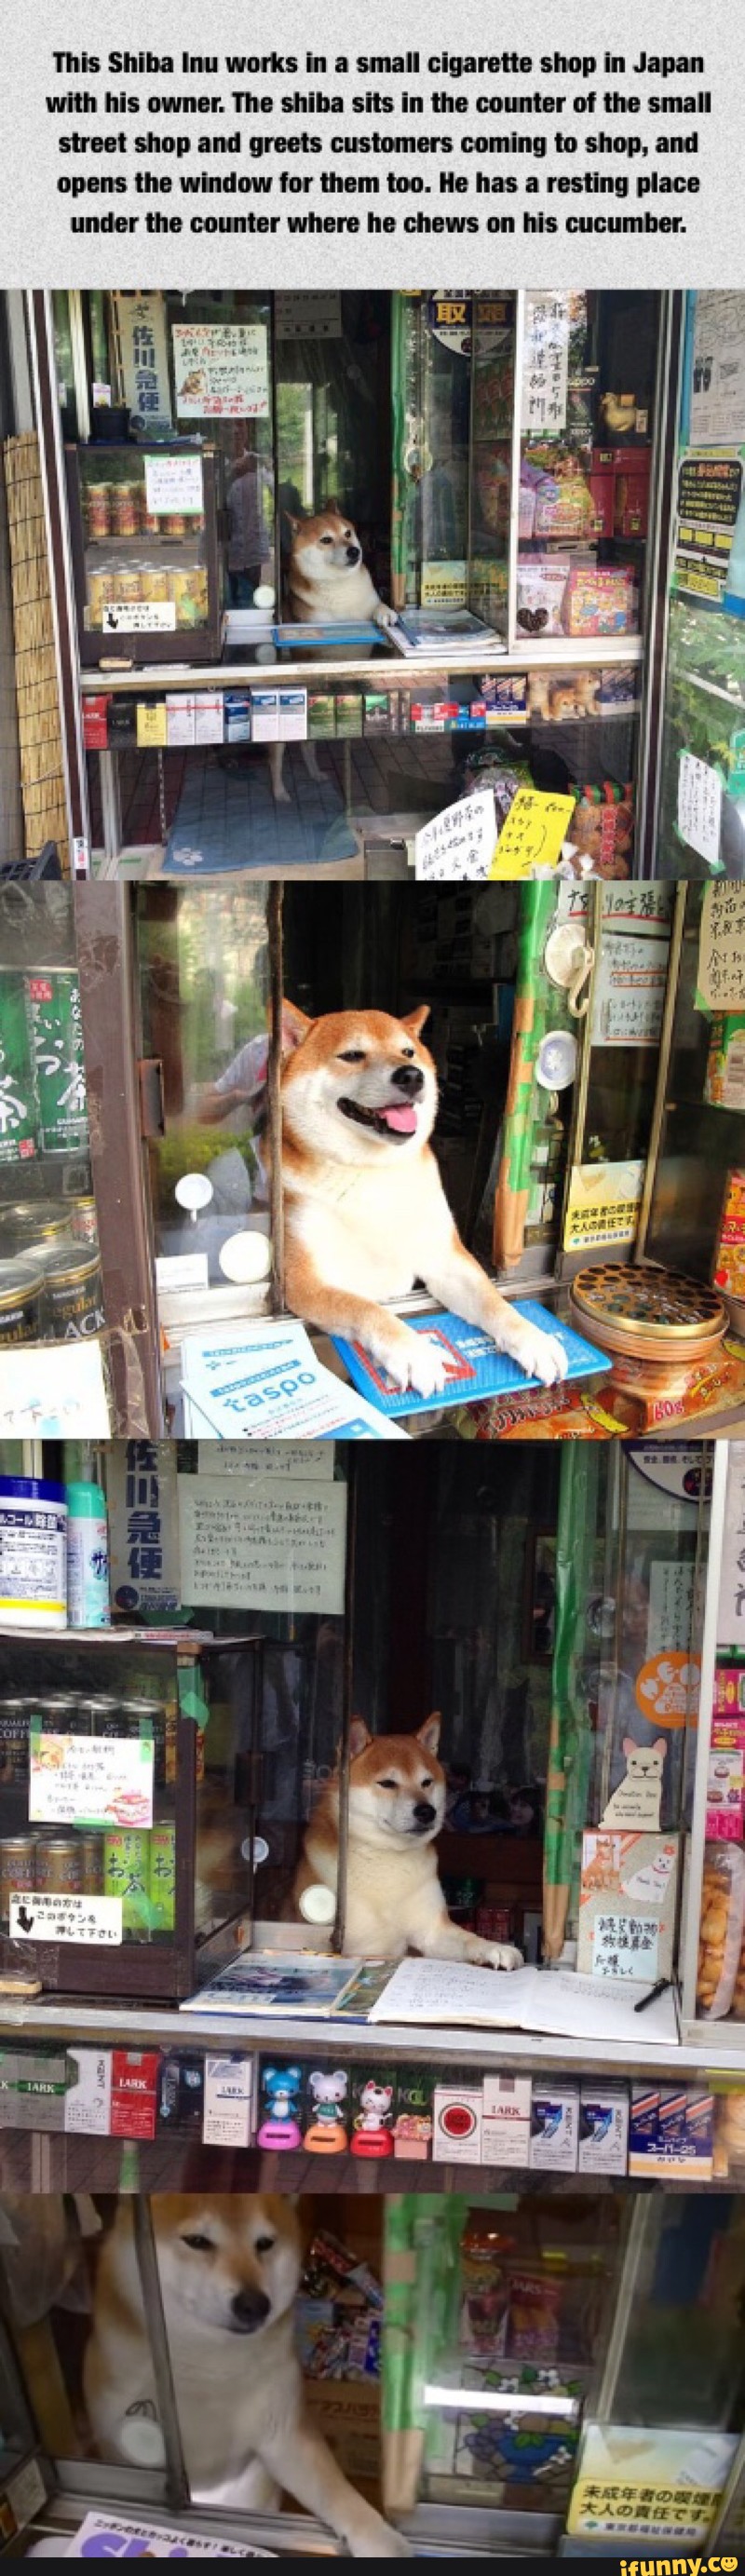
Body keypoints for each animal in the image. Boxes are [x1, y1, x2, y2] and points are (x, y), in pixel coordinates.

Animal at [88, 2194, 412, 2555]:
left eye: (264, 2243)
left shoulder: (283, 2430)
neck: (210, 2367)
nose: (254, 2304)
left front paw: (380, 2538)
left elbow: (336, 2491)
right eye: (197, 2241)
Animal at [278, 994, 566, 1401]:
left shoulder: (445, 1257)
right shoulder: (304, 1280)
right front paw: (414, 1352)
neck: (372, 1174)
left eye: (408, 1052)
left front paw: (534, 1338)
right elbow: (366, 1309)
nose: (412, 1076)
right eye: (352, 1055)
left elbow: (494, 1302)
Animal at [292, 1710, 518, 1968]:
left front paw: (495, 1948)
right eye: (387, 1783)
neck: (388, 1856)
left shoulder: (433, 1930)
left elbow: (468, 1939)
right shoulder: (347, 1944)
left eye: (426, 1782)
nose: (427, 1811)